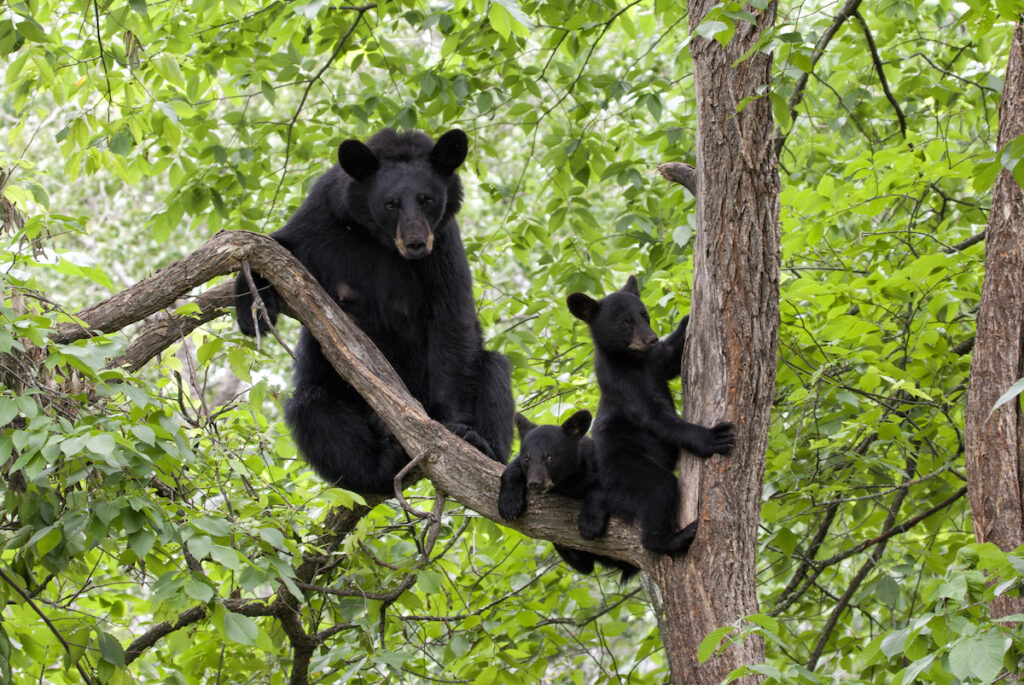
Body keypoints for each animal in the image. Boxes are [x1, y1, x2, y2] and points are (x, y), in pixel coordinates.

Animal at [234, 128, 514, 494]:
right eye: (390, 203)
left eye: (427, 200)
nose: (415, 243)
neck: (380, 240)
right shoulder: (323, 215)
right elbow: (277, 246)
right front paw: (251, 309)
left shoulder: (443, 244)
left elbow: (453, 318)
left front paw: (456, 429)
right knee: (312, 408)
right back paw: (379, 465)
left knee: (494, 370)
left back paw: (484, 445)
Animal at [498, 410, 638, 581]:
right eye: (526, 459)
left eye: (550, 457)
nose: (534, 483)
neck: (567, 482)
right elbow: (512, 469)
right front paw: (509, 505)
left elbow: (604, 488)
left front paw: (590, 524)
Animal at [566, 275, 735, 555]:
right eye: (625, 323)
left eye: (644, 315)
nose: (651, 339)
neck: (634, 362)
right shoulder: (623, 386)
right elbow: (656, 418)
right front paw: (712, 437)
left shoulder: (656, 363)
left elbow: (672, 357)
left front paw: (687, 318)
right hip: (625, 469)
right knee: (659, 489)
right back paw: (672, 538)